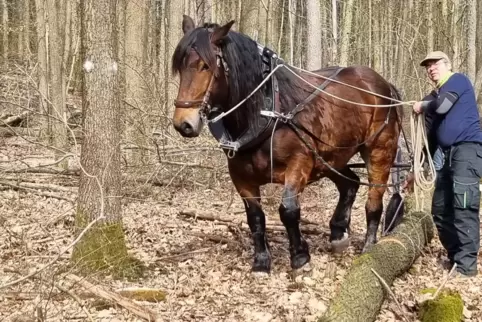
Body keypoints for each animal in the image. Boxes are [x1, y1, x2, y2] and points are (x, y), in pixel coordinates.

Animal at [171, 13, 404, 272]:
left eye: (206, 66)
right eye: (180, 66)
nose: (183, 123)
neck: (266, 112)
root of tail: (385, 85)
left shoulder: (299, 164)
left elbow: (289, 210)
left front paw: (300, 257)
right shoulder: (241, 176)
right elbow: (255, 217)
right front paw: (262, 261)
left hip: (379, 150)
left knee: (375, 197)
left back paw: (369, 245)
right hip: (330, 157)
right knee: (350, 184)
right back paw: (337, 234)